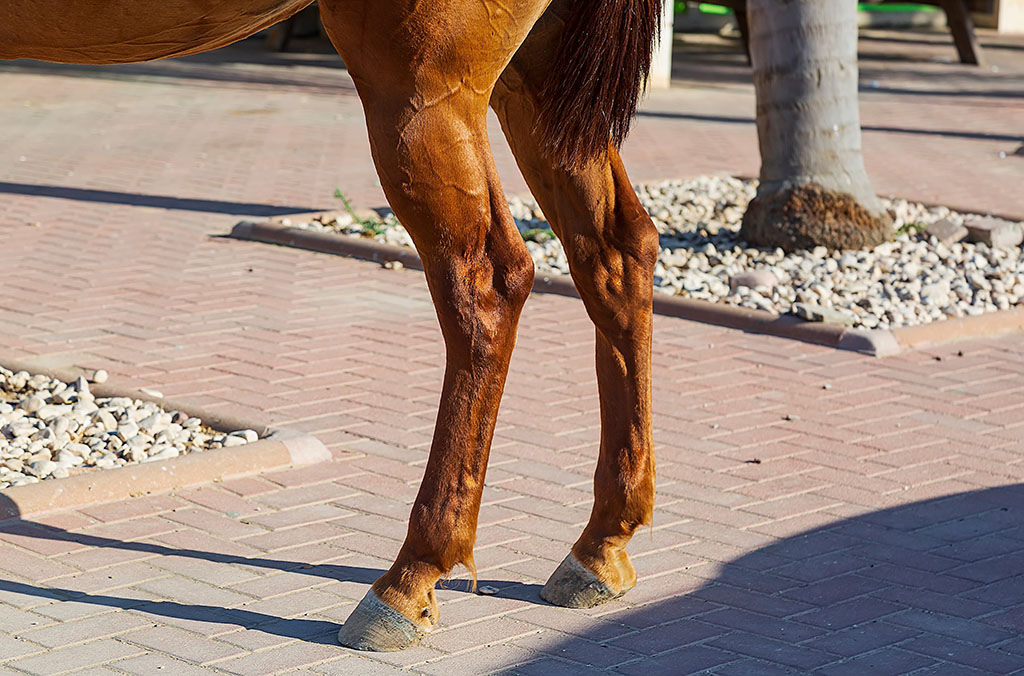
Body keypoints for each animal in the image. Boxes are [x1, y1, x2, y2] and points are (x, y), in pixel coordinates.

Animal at [2, 0, 663, 651]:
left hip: (422, 86)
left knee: (486, 287)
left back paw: (409, 578)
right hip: (544, 74)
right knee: (615, 253)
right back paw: (601, 545)